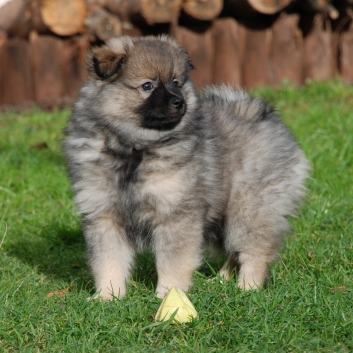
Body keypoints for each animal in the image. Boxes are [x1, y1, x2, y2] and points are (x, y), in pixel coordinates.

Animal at [64, 35, 310, 298]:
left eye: (176, 83)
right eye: (147, 86)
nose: (178, 101)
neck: (134, 147)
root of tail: (262, 113)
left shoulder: (175, 213)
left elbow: (172, 261)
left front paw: (168, 294)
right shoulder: (104, 215)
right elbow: (108, 261)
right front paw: (107, 297)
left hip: (249, 210)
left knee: (255, 249)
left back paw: (247, 288)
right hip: (222, 217)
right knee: (235, 251)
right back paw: (221, 281)